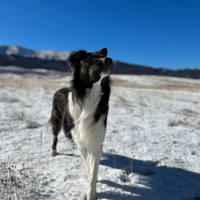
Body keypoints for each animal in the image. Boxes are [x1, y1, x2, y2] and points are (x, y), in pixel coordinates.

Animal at [48, 48, 114, 200]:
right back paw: (53, 151)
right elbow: (88, 166)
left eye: (103, 56)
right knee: (55, 136)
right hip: (56, 119)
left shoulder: (96, 141)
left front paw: (92, 193)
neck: (90, 95)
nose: (109, 60)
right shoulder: (81, 142)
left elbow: (93, 169)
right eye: (90, 59)